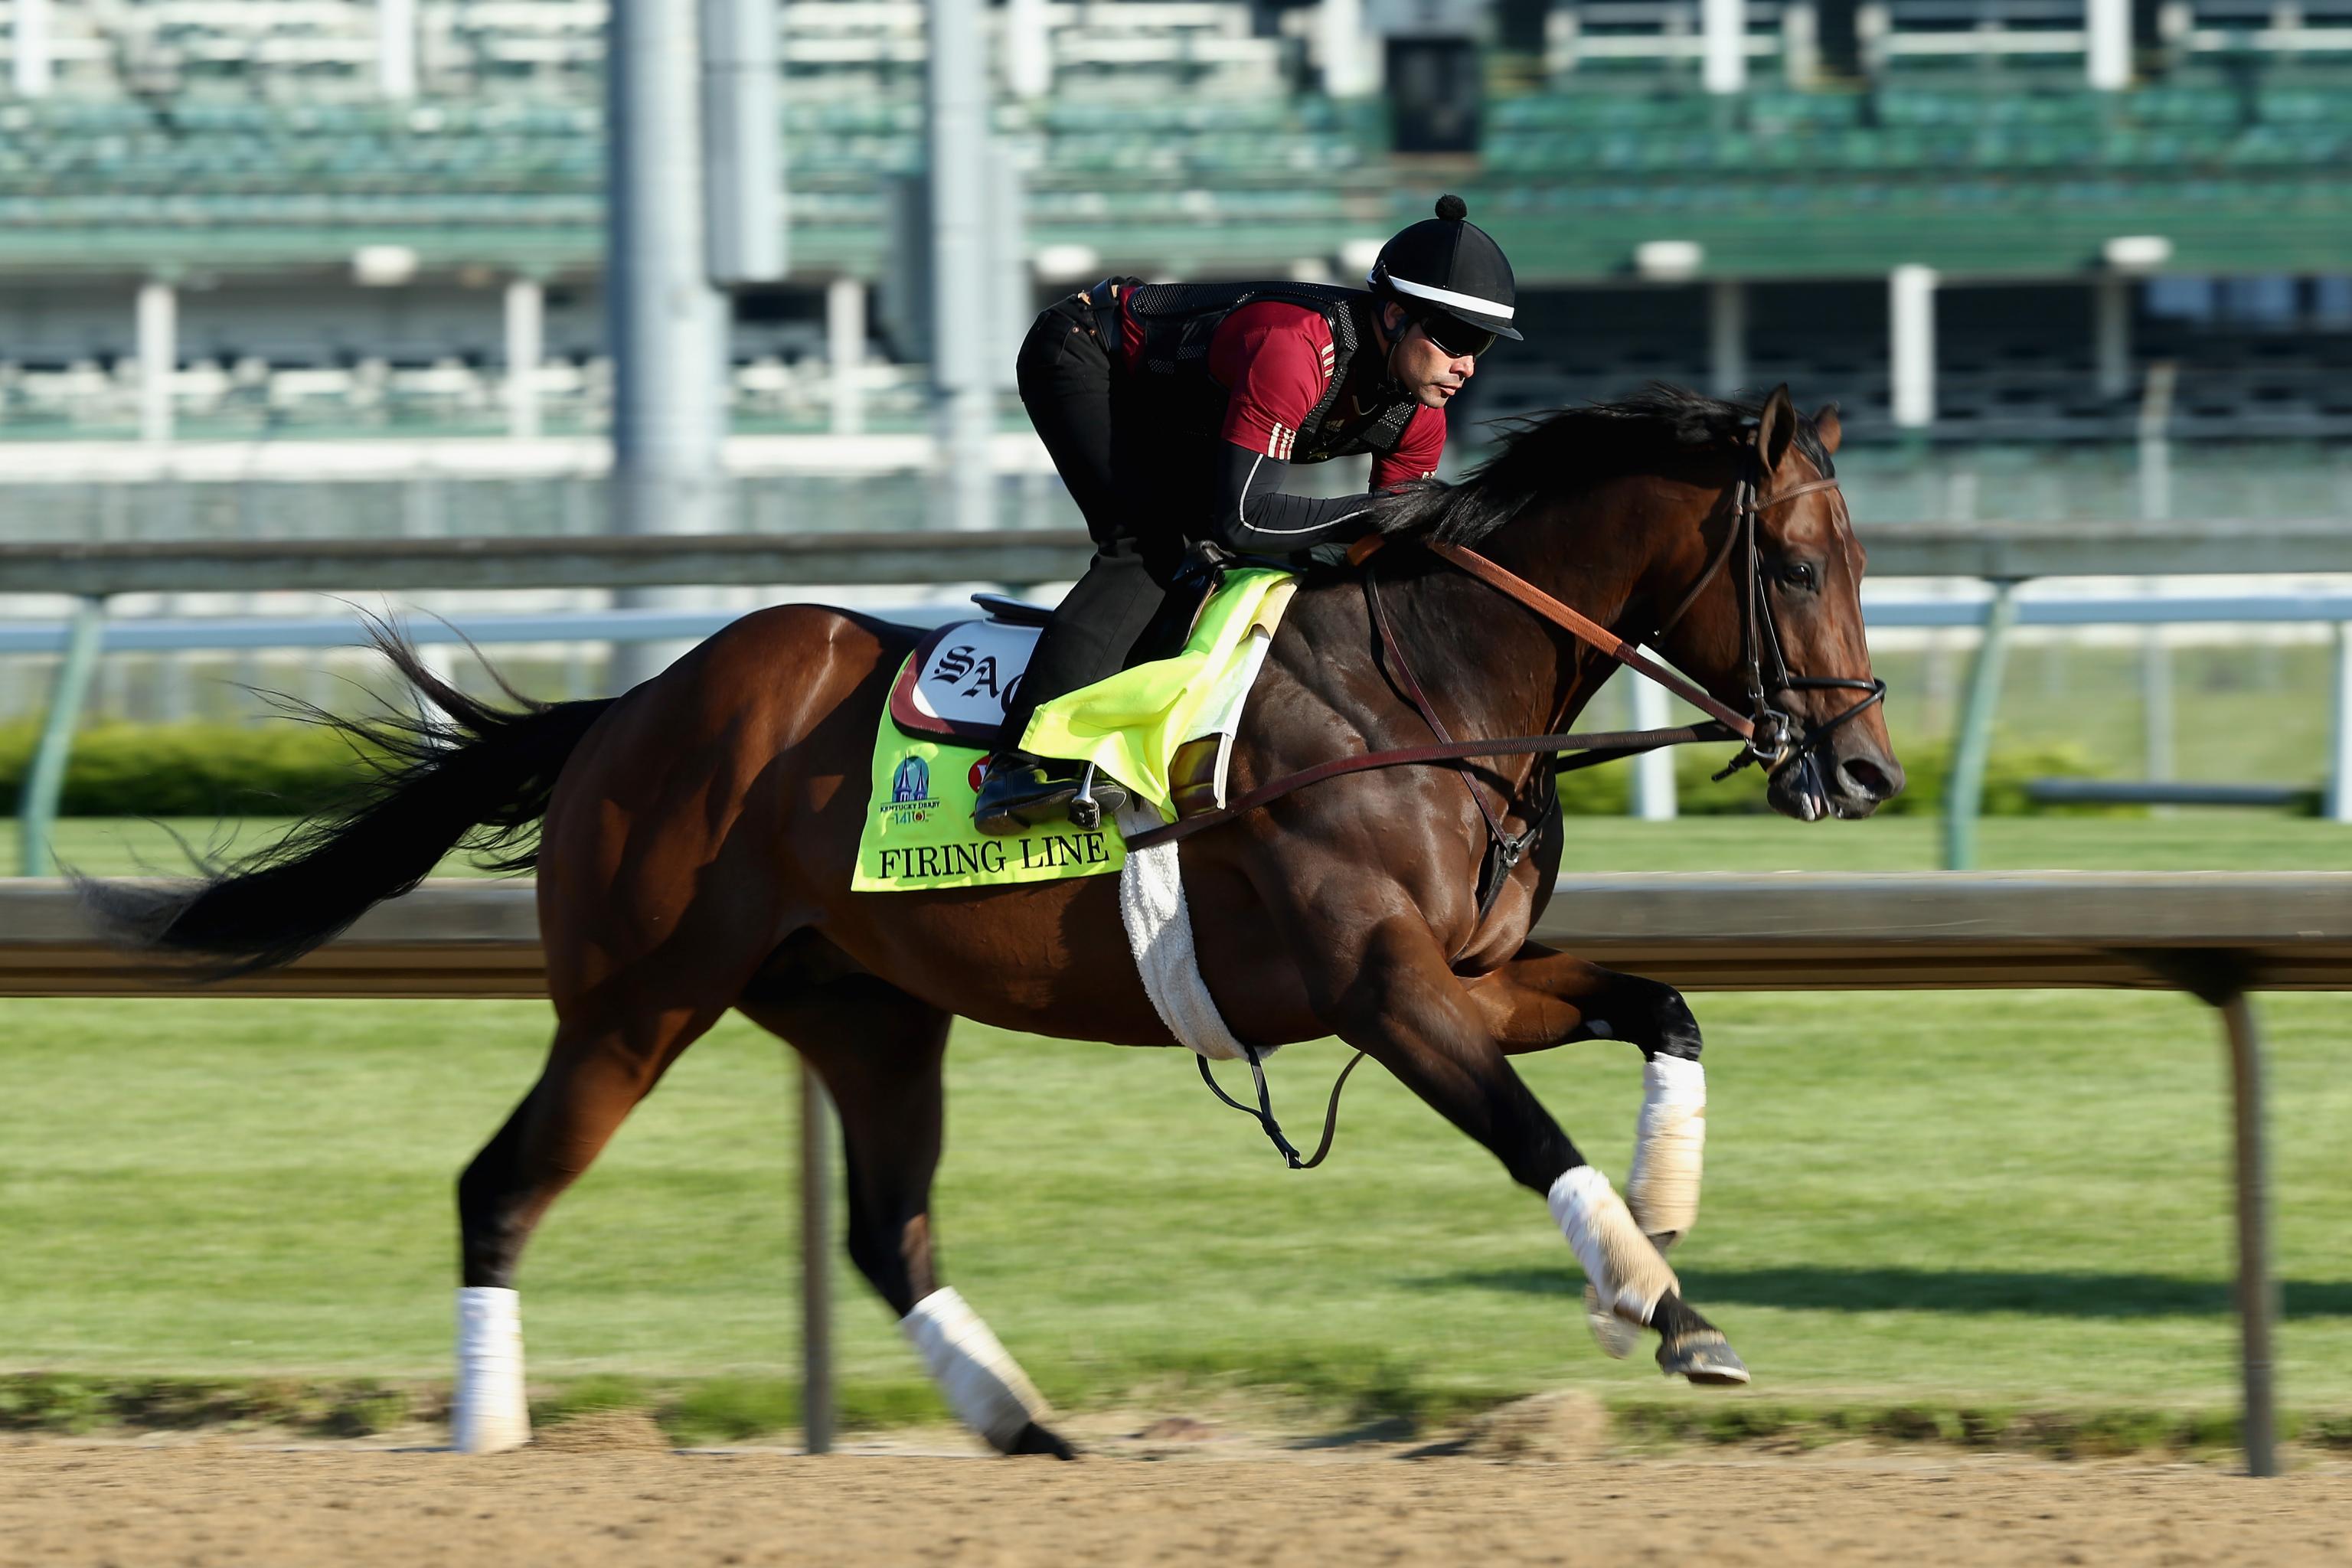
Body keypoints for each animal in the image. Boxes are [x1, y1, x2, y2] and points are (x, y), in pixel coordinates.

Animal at [83, 381, 1900, 1457]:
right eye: (1801, 566)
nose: (1869, 767)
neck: (1434, 685)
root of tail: (631, 709)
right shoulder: (1380, 987)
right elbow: (1536, 1137)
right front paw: (1670, 1310)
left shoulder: (1470, 970)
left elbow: (1664, 1007)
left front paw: (1663, 1217)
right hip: (634, 1001)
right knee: (502, 1186)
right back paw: (491, 1435)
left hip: (866, 1010)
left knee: (886, 1232)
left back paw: (1026, 1424)